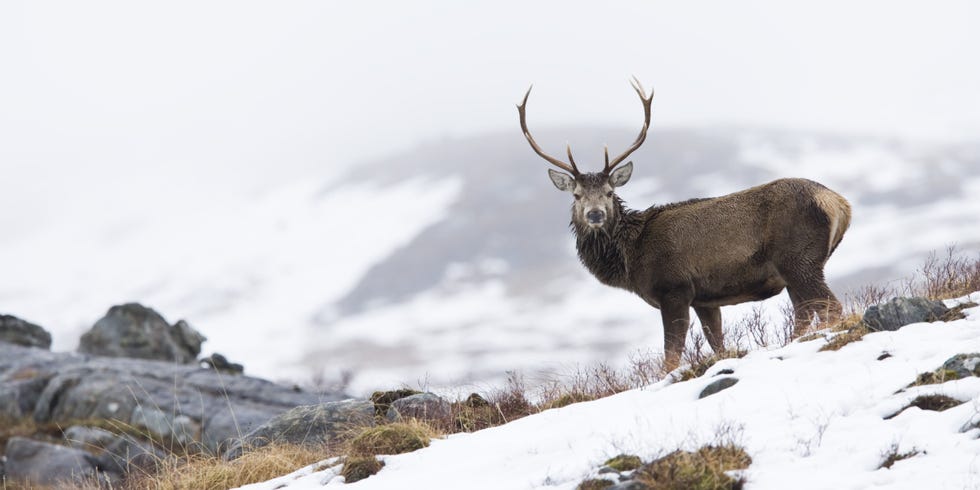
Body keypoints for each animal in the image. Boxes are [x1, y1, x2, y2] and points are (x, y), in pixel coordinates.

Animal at [520, 79, 848, 372]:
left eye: (609, 193)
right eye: (577, 195)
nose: (595, 215)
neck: (632, 257)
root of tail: (839, 203)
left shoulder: (674, 289)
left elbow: (671, 354)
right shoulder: (705, 298)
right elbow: (718, 344)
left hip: (799, 258)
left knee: (831, 308)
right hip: (794, 269)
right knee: (805, 314)